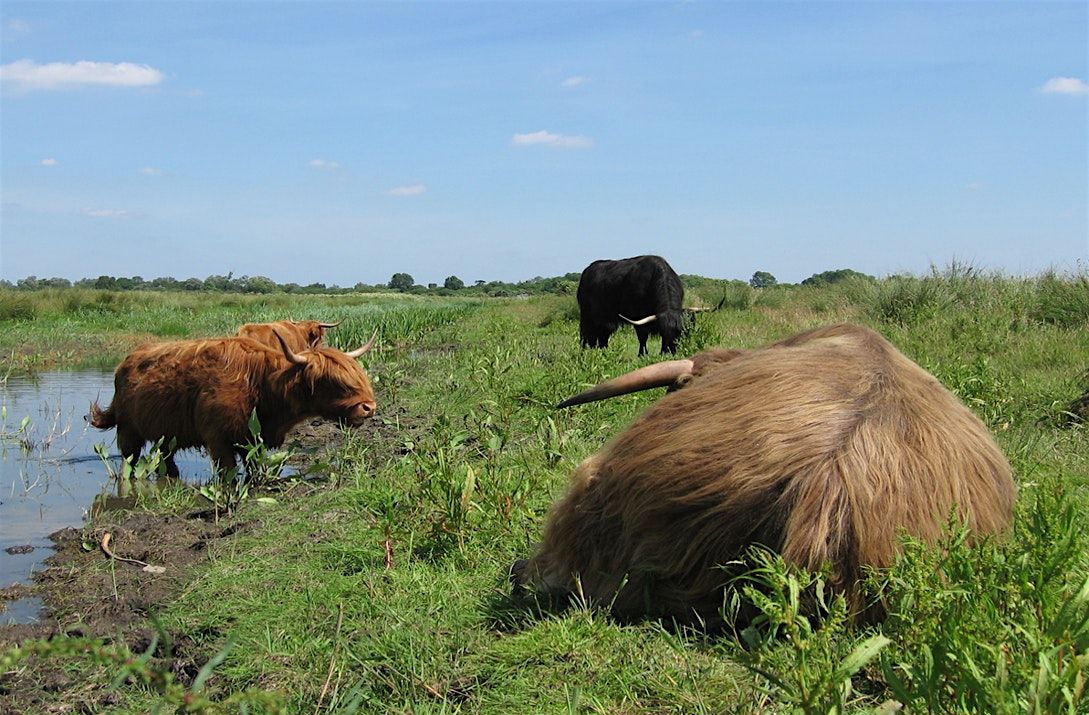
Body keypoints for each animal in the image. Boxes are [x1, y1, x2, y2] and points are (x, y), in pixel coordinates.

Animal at [90, 328, 378, 474]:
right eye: (333, 381)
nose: (369, 408)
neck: (262, 385)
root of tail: (125, 363)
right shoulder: (218, 439)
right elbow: (227, 475)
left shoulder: (252, 439)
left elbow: (253, 469)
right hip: (128, 431)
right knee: (129, 463)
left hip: (165, 437)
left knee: (166, 460)